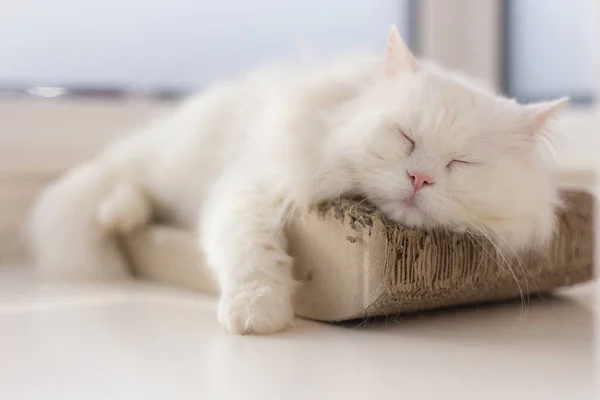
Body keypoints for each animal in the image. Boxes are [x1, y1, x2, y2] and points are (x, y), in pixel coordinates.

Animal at [29, 25, 568, 334]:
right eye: (406, 137)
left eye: (461, 164)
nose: (419, 178)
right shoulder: (253, 184)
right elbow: (250, 250)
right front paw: (258, 313)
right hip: (169, 163)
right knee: (124, 177)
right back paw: (119, 214)